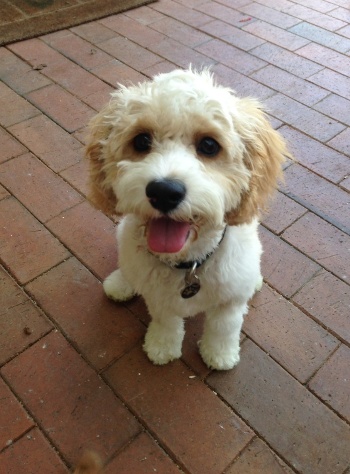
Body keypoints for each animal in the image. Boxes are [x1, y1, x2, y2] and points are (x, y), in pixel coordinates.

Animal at [86, 68, 288, 370]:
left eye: (209, 145)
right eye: (141, 141)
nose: (164, 192)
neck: (188, 264)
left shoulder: (230, 300)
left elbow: (224, 326)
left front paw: (219, 354)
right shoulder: (159, 297)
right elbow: (166, 320)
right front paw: (162, 346)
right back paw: (121, 283)